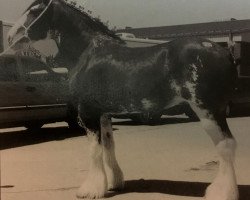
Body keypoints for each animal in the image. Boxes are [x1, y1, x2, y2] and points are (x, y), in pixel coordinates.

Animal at [7, 0, 238, 199]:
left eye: (34, 11)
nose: (9, 37)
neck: (88, 53)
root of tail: (223, 51)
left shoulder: (88, 113)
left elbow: (94, 150)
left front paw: (90, 190)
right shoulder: (104, 114)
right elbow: (109, 145)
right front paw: (114, 183)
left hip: (208, 110)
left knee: (226, 145)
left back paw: (221, 193)